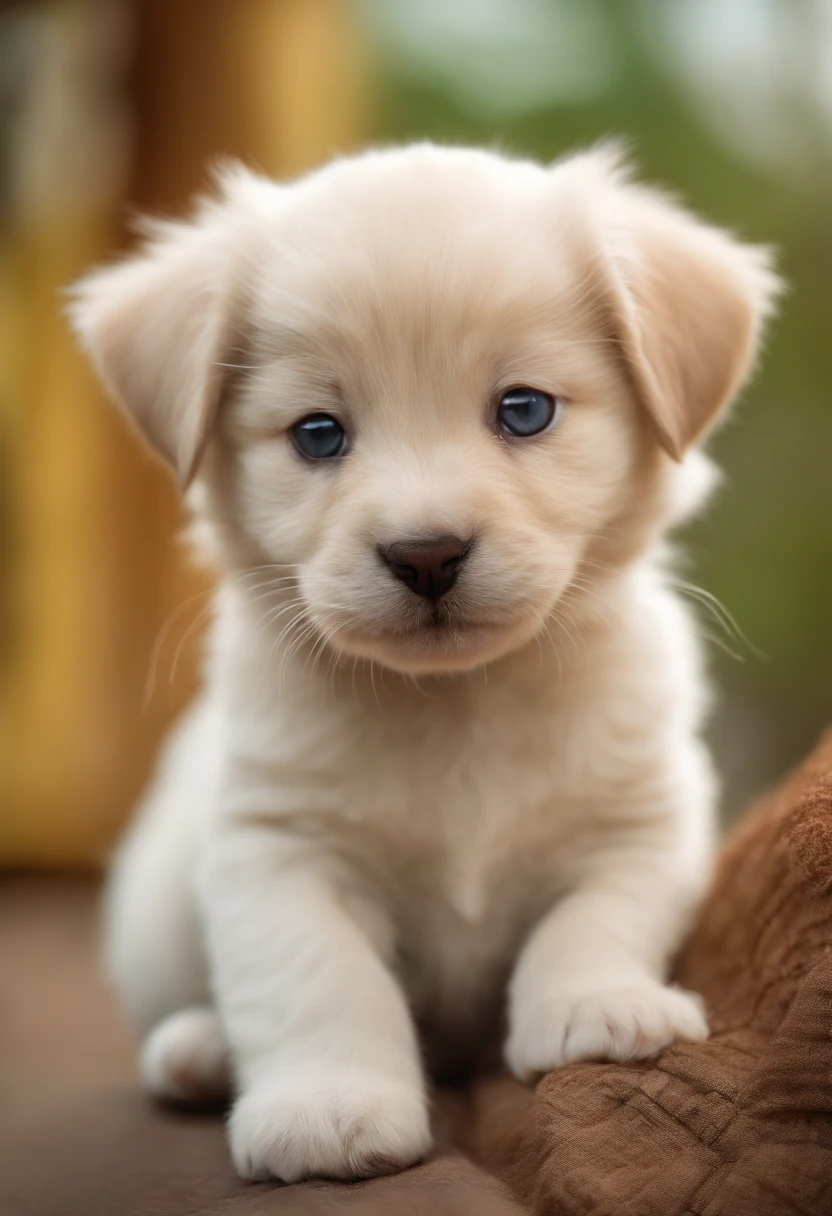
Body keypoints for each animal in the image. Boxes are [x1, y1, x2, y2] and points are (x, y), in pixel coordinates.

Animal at [71, 139, 778, 1177]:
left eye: (523, 411)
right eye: (317, 434)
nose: (428, 555)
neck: (458, 707)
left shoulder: (643, 823)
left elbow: (592, 918)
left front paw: (599, 1006)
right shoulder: (278, 852)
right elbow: (318, 980)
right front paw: (329, 1107)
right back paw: (199, 1049)